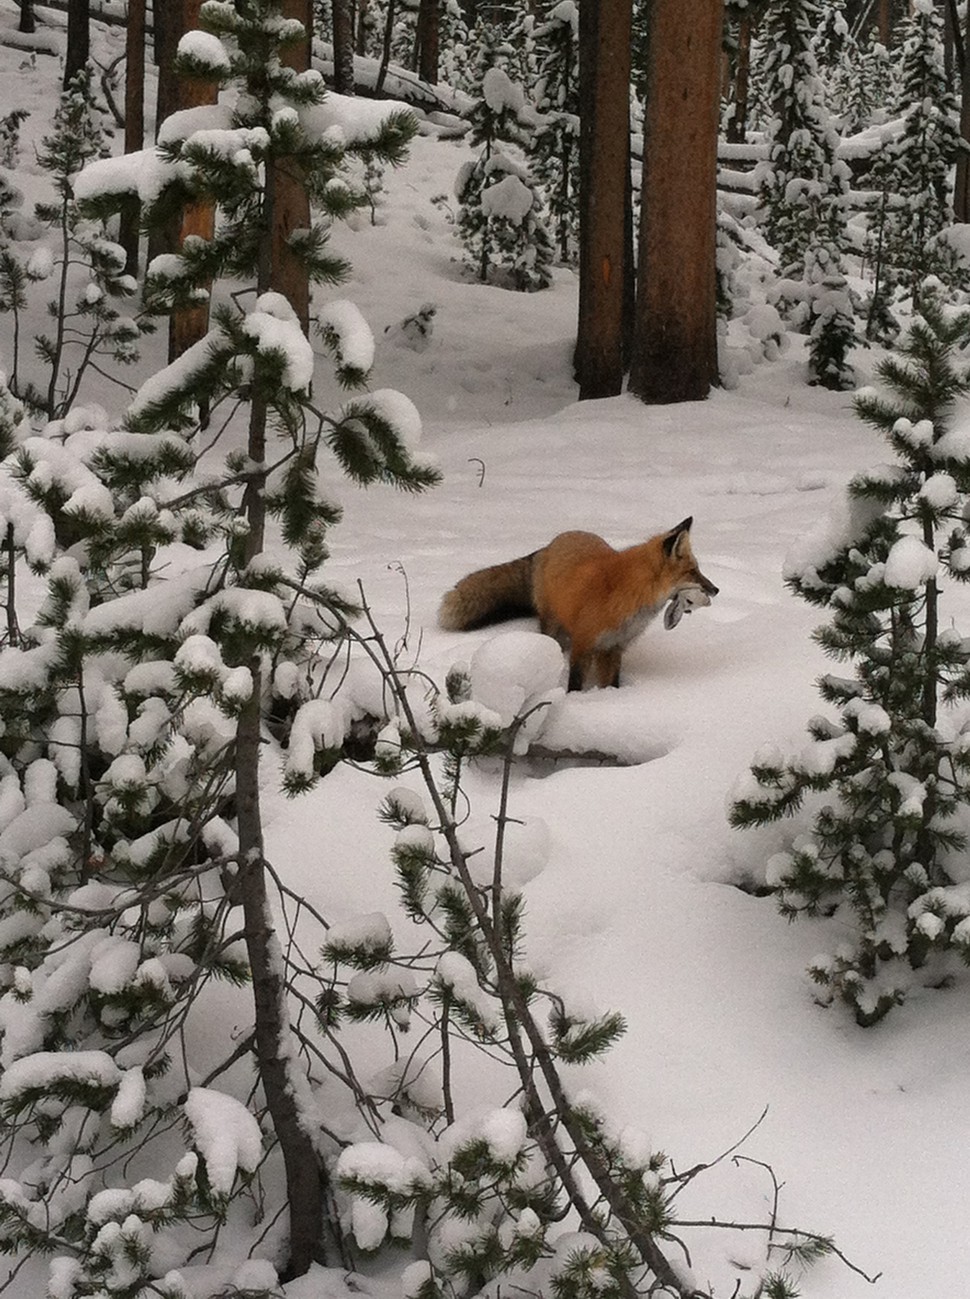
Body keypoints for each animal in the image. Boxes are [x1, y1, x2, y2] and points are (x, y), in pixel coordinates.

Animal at [438, 517, 721, 691]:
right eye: (693, 572)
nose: (716, 589)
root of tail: (550, 544)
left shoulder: (614, 648)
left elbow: (612, 683)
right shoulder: (584, 644)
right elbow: (574, 683)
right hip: (552, 625)